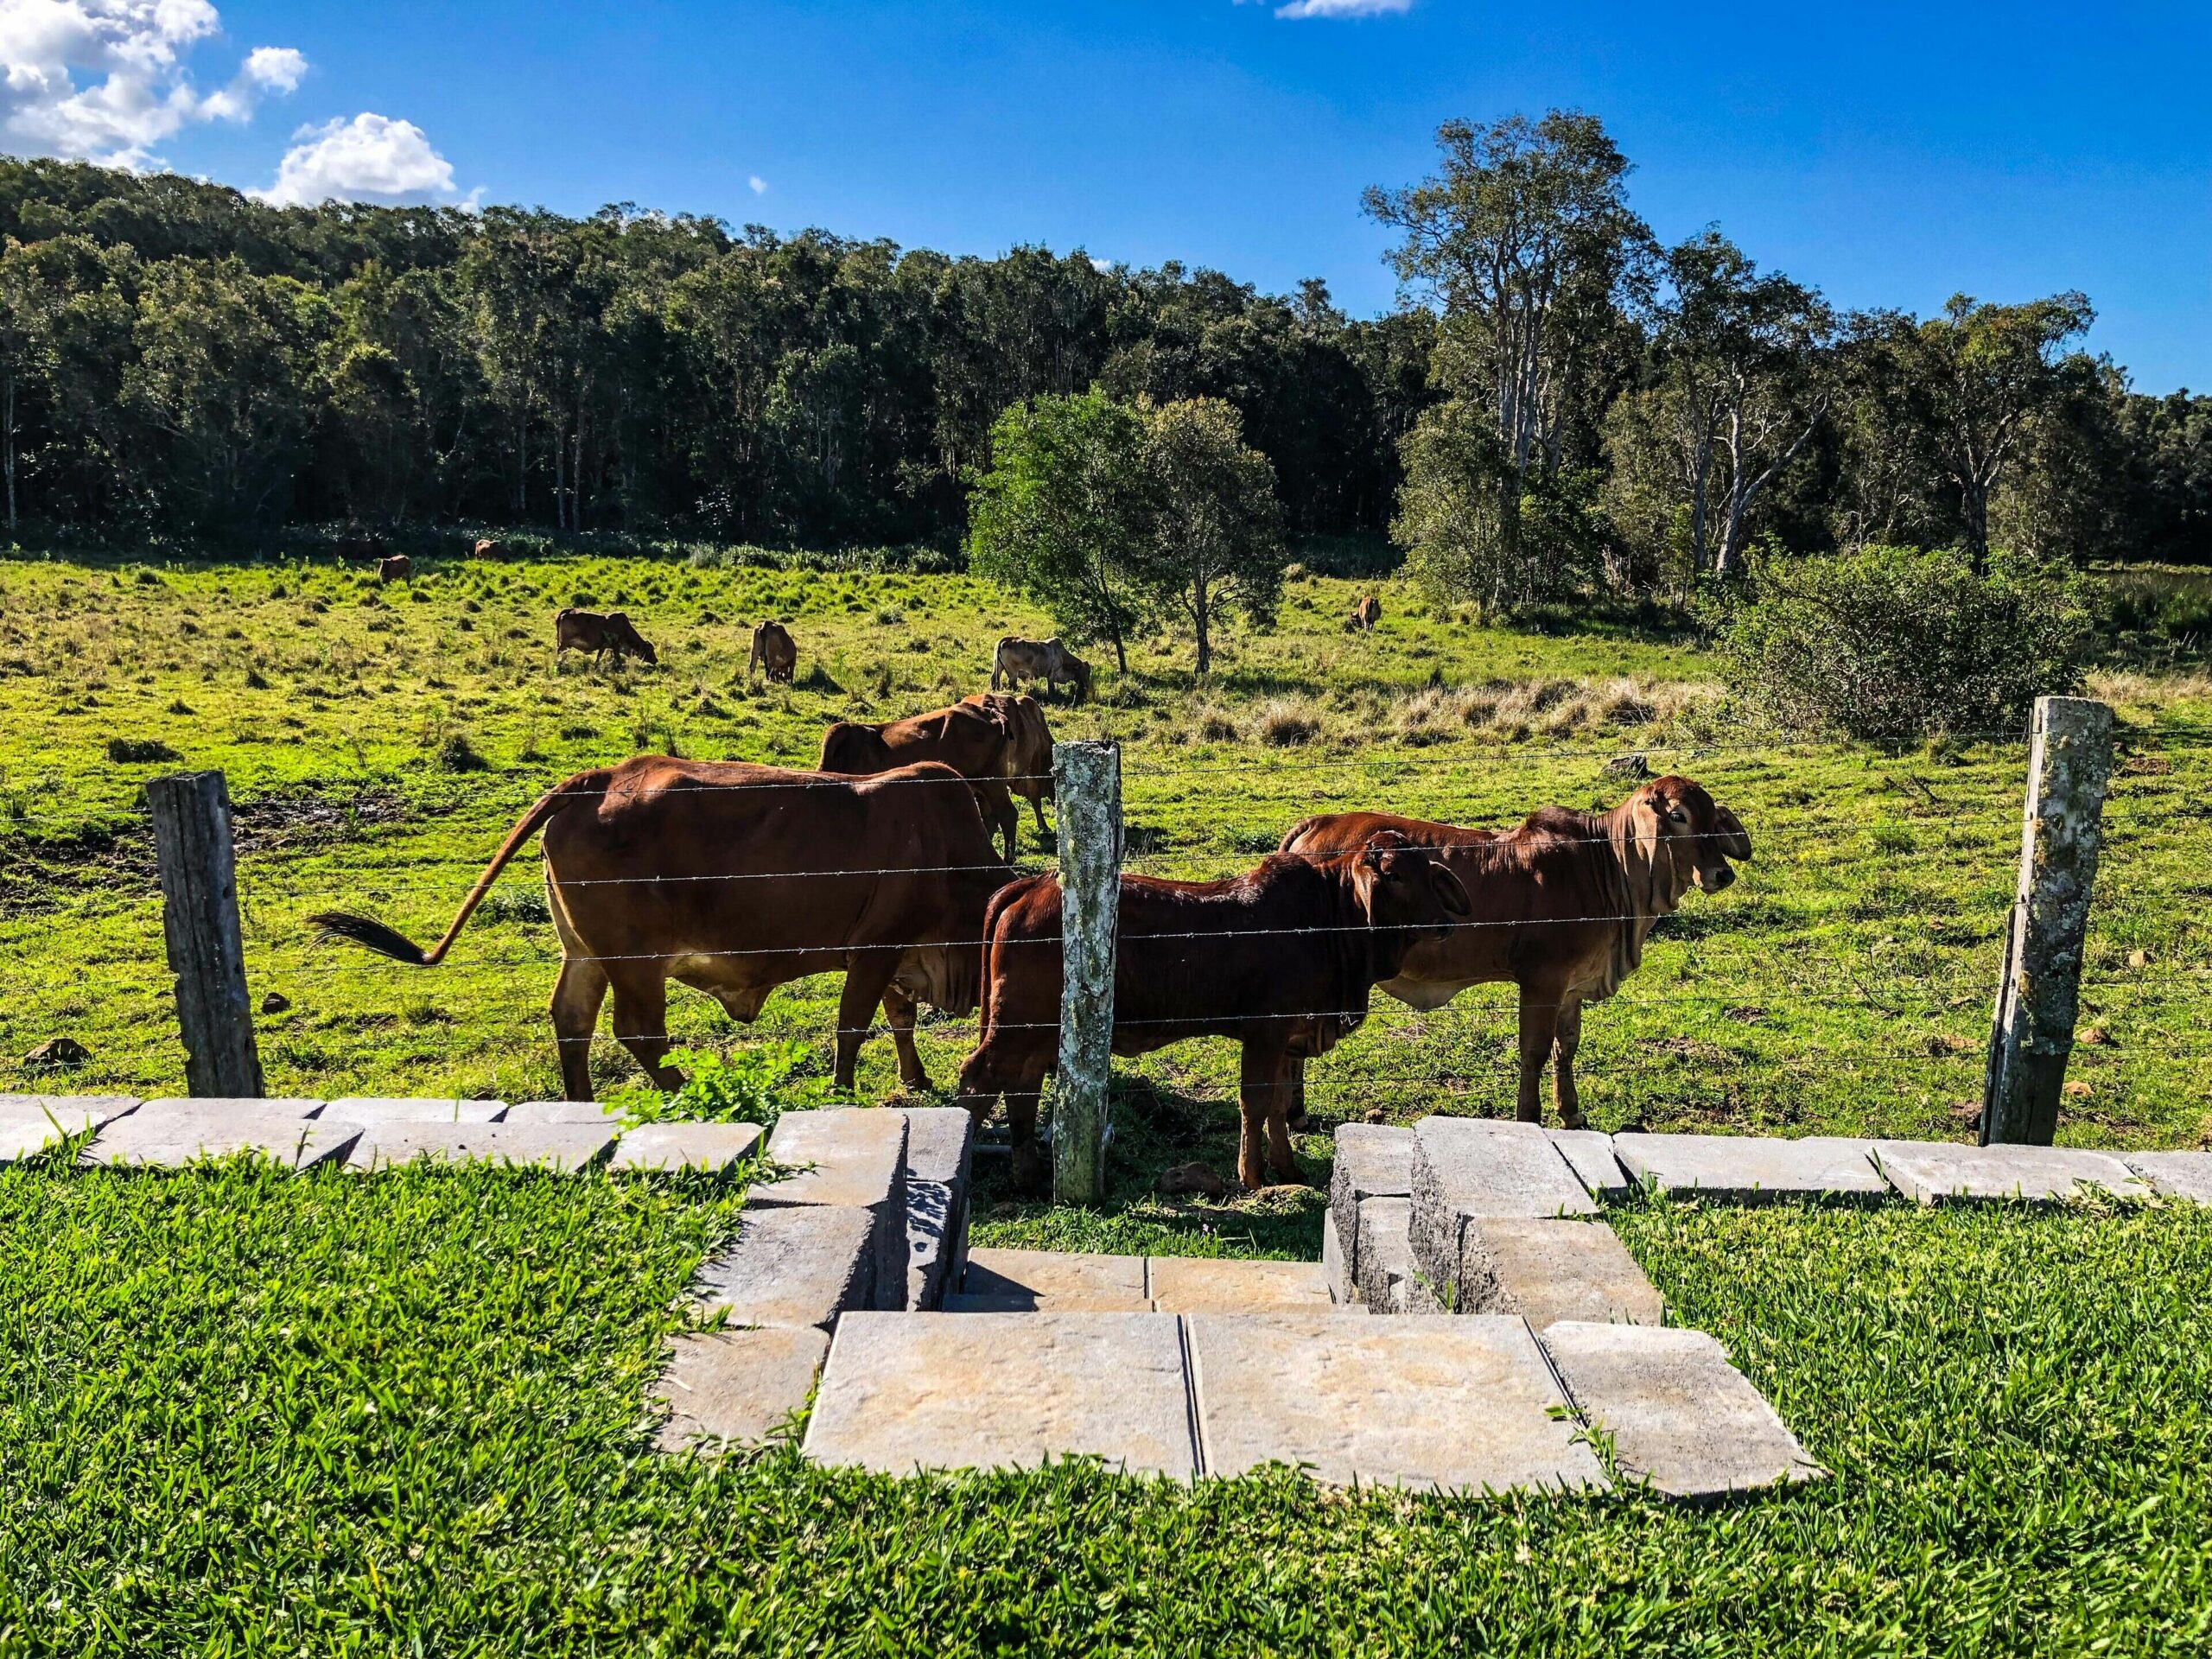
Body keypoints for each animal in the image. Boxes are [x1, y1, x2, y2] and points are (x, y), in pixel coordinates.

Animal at [309, 765, 1004, 1106]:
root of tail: (598, 780)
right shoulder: (876, 948)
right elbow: (855, 1025)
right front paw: (844, 1090)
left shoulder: (896, 955)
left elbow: (899, 1017)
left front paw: (916, 1080)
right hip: (635, 959)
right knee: (637, 1032)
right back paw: (686, 1088)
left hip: (585, 953)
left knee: (572, 1020)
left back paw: (581, 1101)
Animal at [823, 698, 1017, 858]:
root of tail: (989, 713)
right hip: (983, 784)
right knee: (990, 817)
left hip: (992, 782)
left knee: (1008, 814)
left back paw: (1007, 858)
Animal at [950, 831, 1468, 1194]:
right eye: (1393, 875)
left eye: (1427, 874)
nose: (1444, 924)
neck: (1329, 922)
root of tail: (1031, 884)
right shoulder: (1265, 1034)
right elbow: (1255, 1103)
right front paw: (1253, 1177)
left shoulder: (1288, 1040)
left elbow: (1279, 1104)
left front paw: (1287, 1167)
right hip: (1016, 1025)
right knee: (978, 1078)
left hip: (1035, 1032)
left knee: (1021, 1090)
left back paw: (1029, 1177)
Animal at [1274, 779, 1751, 1132]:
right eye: (1678, 816)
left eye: (1712, 815)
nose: (1722, 874)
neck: (1605, 865)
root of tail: (1316, 823)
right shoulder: (1542, 980)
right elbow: (1535, 1051)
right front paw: (1529, 1119)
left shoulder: (1571, 987)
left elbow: (1566, 1048)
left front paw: (1571, 1113)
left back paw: (1296, 1115)